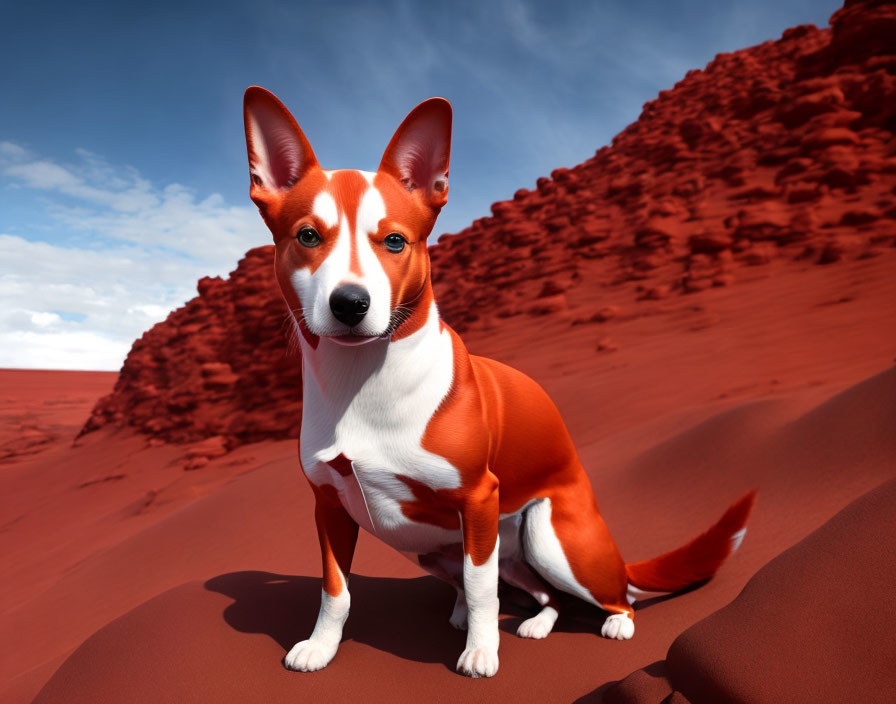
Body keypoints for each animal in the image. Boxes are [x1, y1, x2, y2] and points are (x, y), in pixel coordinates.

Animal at [242, 88, 752, 676]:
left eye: (394, 241)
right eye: (307, 236)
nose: (350, 304)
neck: (362, 383)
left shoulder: (479, 499)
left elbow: (481, 583)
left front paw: (482, 652)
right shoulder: (328, 506)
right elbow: (335, 589)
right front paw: (322, 647)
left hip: (549, 539)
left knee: (609, 591)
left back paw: (613, 623)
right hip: (439, 552)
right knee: (541, 595)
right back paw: (527, 622)